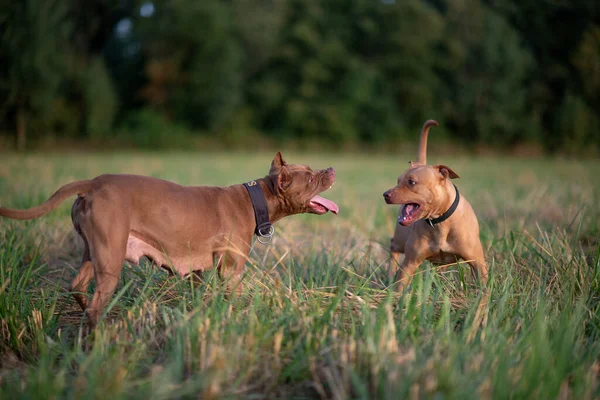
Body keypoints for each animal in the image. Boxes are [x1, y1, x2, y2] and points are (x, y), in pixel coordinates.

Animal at [0, 152, 338, 326]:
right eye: (310, 177)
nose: (332, 168)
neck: (257, 198)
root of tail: (93, 183)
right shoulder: (231, 270)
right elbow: (234, 298)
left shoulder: (198, 271)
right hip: (110, 261)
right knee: (95, 303)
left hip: (92, 253)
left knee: (77, 287)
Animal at [384, 120, 488, 290]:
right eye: (398, 180)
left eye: (411, 182)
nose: (386, 195)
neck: (440, 220)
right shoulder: (409, 263)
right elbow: (401, 285)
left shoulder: (477, 263)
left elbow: (483, 286)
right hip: (400, 239)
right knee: (393, 247)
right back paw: (389, 274)